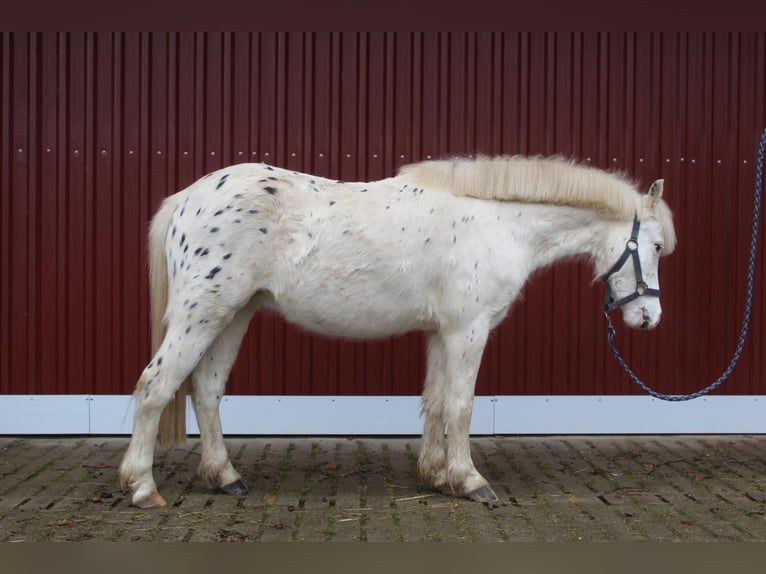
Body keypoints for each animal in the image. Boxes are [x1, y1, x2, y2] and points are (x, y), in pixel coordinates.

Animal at [118, 155, 677, 508]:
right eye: (653, 246)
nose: (650, 318)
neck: (498, 221)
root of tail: (186, 198)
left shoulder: (441, 333)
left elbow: (434, 402)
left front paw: (436, 476)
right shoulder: (468, 331)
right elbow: (461, 406)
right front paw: (470, 482)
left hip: (233, 314)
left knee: (207, 390)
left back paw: (225, 477)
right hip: (201, 314)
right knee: (155, 386)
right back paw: (142, 488)